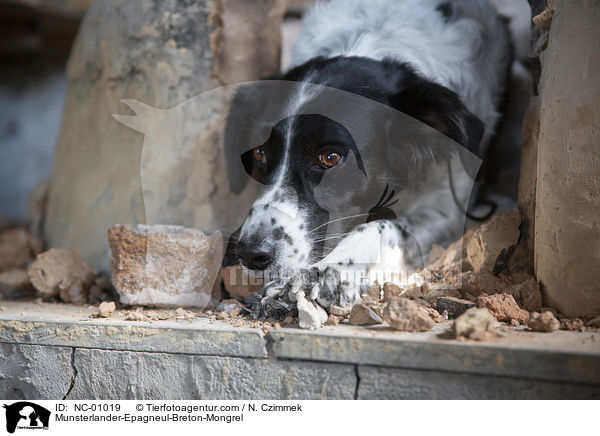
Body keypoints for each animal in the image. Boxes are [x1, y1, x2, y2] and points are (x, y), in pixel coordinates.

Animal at [223, 0, 512, 316]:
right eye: (260, 153)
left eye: (330, 157)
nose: (251, 254)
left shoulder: (447, 209)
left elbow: (381, 227)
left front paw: (327, 271)